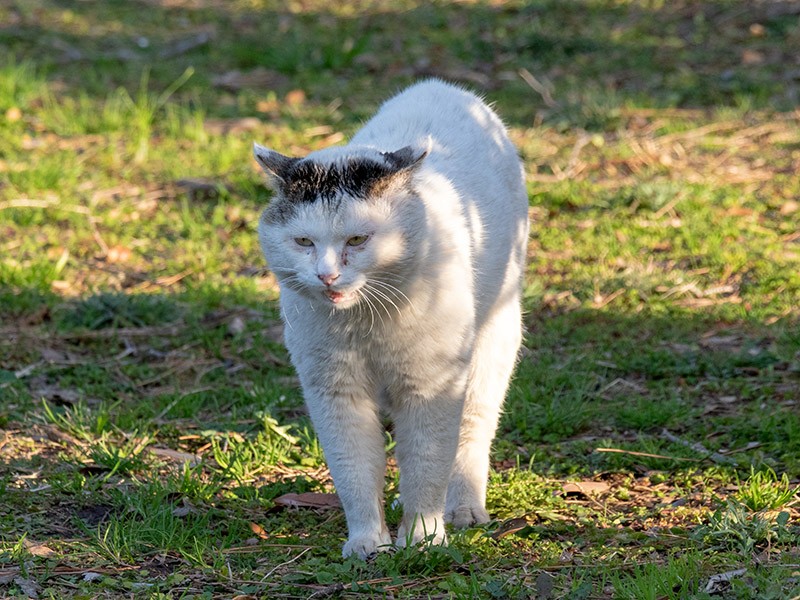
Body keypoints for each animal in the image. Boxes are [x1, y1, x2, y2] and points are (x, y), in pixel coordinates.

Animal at [256, 78, 528, 556]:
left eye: (358, 239)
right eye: (304, 241)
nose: (327, 275)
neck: (366, 323)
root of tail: (442, 87)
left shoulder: (431, 387)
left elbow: (426, 463)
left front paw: (423, 537)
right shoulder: (335, 392)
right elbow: (354, 469)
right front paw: (367, 542)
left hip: (492, 347)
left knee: (471, 433)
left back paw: (463, 509)